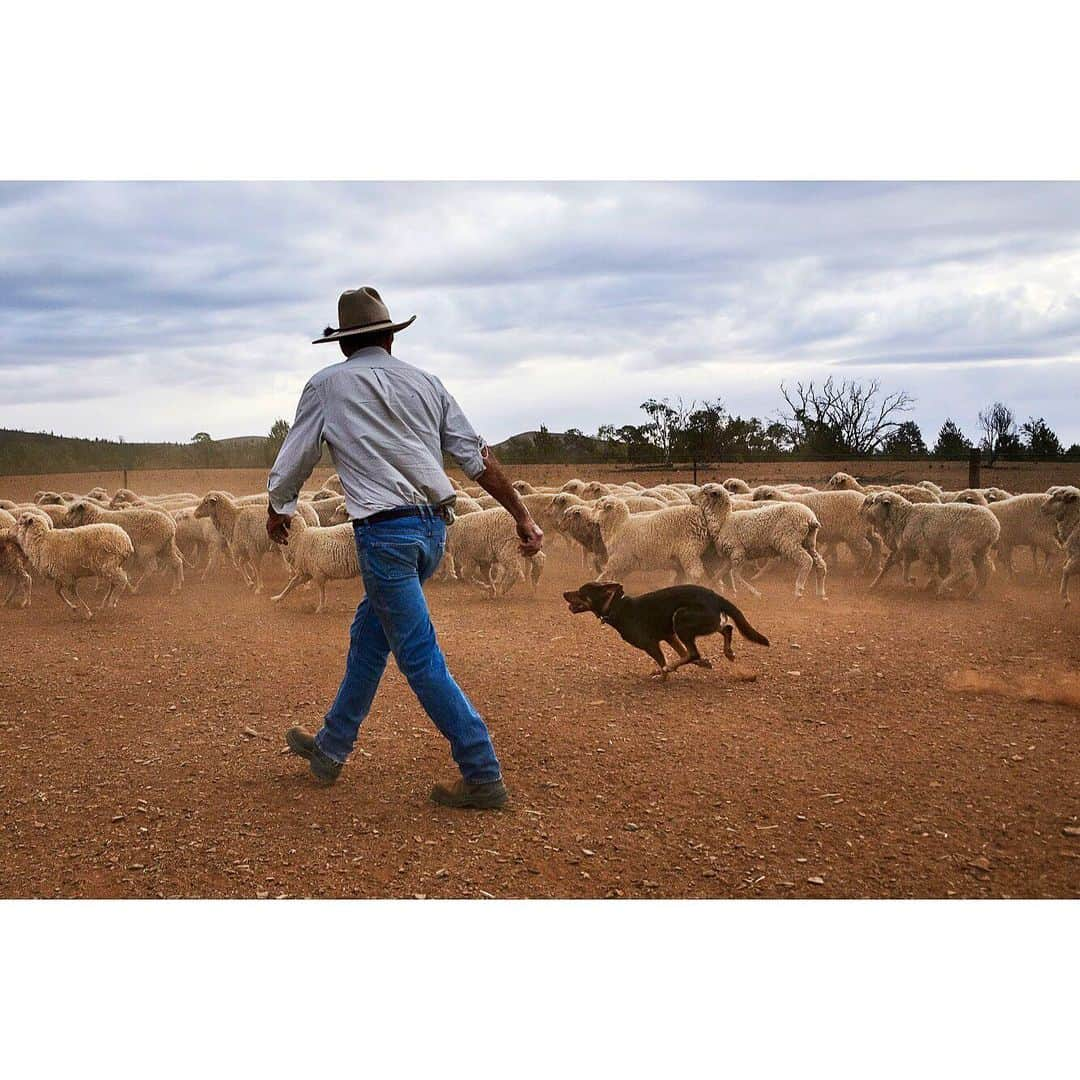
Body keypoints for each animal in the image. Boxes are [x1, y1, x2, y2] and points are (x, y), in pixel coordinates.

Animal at [565, 578, 768, 678]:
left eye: (581, 592)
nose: (564, 593)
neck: (616, 606)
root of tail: (715, 596)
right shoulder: (669, 636)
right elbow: (683, 654)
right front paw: (703, 663)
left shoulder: (651, 644)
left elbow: (667, 660)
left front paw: (663, 673)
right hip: (700, 623)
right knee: (726, 628)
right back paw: (728, 652)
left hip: (682, 619)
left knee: (695, 650)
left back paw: (668, 669)